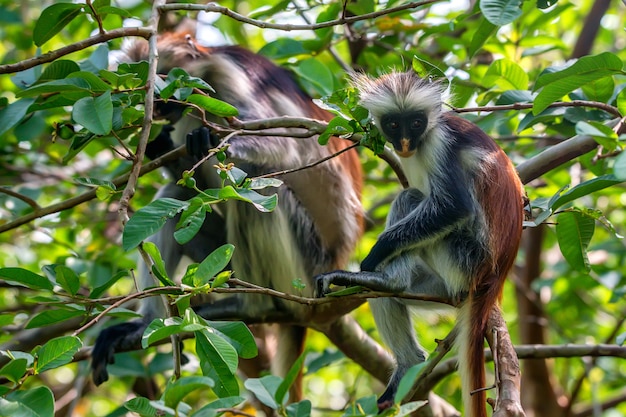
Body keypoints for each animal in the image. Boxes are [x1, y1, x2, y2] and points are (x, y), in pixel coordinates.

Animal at [94, 30, 366, 398]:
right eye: (155, 99)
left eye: (169, 89)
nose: (163, 111)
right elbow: (185, 179)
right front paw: (156, 145)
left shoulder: (226, 75)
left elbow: (283, 146)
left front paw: (210, 141)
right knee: (176, 195)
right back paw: (148, 323)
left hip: (306, 267)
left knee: (258, 185)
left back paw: (249, 307)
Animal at [314, 72, 524, 416]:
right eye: (393, 124)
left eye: (415, 123)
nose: (404, 144)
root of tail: (494, 277)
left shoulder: (441, 144)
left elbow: (454, 208)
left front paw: (377, 251)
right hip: (439, 286)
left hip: (462, 258)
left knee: (411, 198)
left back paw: (385, 278)